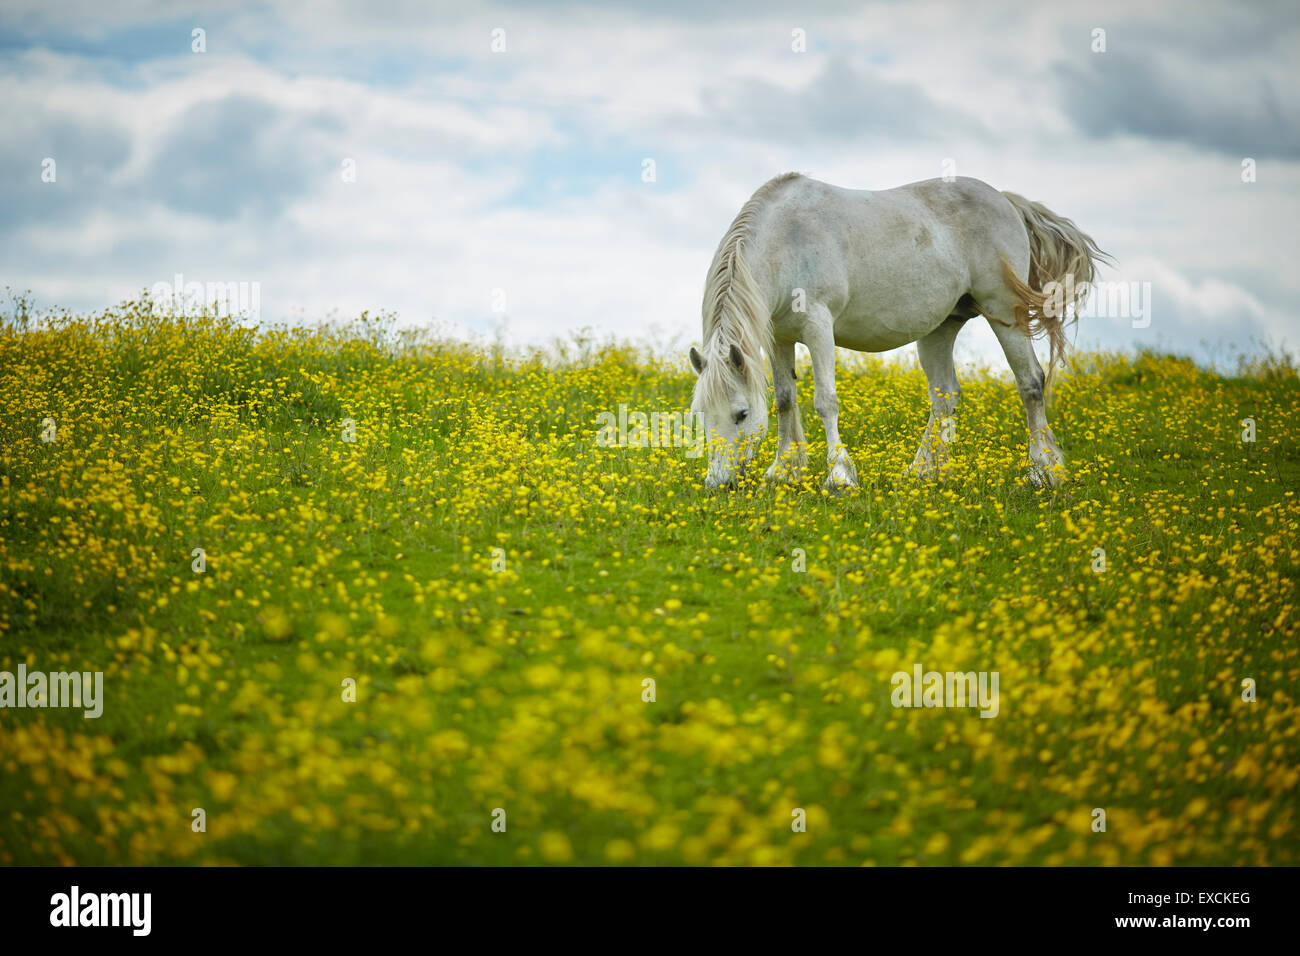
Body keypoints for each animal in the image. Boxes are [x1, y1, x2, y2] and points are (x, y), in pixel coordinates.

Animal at [691, 170, 1107, 494]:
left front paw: (839, 477)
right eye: (701, 414)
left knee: (1031, 383)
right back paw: (922, 472)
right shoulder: (779, 338)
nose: (718, 483)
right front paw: (783, 471)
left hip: (1004, 312)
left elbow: (825, 401)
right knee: (945, 396)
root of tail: (1005, 200)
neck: (787, 239)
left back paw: (1043, 472)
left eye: (741, 414)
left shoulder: (817, 327)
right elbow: (784, 400)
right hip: (940, 328)